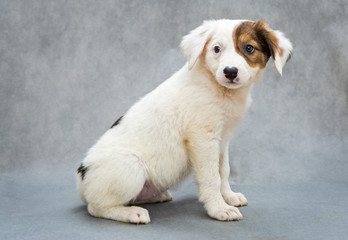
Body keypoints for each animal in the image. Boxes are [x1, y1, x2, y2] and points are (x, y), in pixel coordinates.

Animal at [77, 18, 294, 223]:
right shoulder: (203, 139)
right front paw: (219, 208)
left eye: (249, 48)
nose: (230, 71)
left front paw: (229, 197)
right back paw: (131, 213)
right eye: (216, 49)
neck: (218, 89)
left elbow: (223, 171)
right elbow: (211, 177)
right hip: (130, 166)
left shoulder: (222, 141)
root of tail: (81, 178)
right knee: (96, 207)